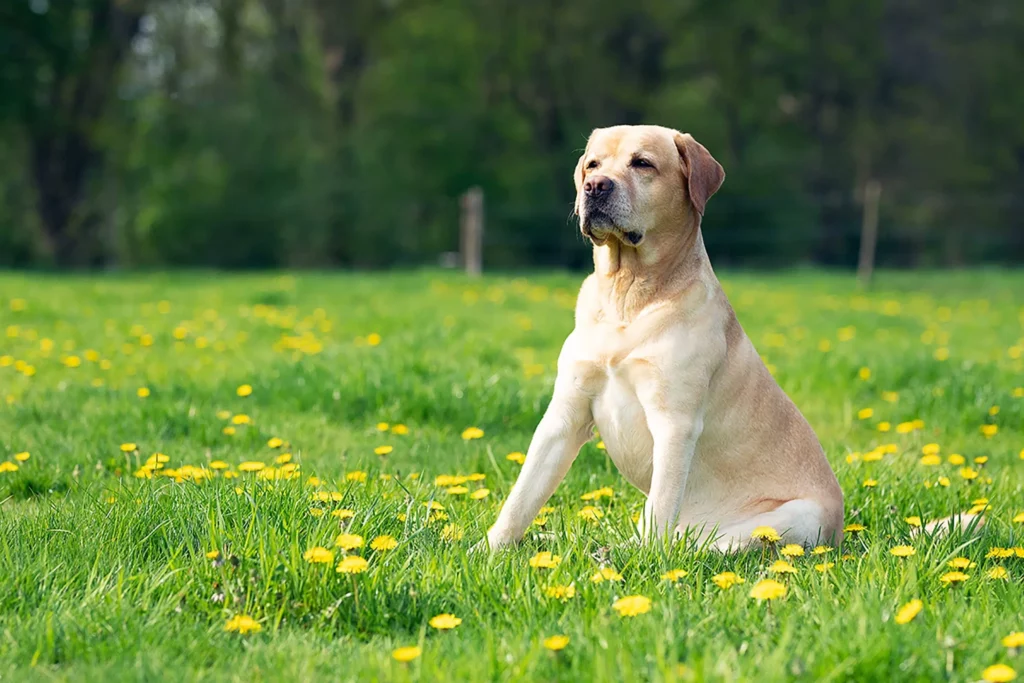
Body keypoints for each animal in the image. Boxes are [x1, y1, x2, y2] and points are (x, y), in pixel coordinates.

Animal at [487, 124, 847, 548]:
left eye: (642, 163)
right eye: (593, 164)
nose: (594, 187)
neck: (627, 295)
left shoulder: (675, 423)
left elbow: (658, 508)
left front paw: (642, 559)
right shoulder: (564, 415)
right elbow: (521, 497)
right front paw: (487, 550)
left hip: (794, 516)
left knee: (706, 545)